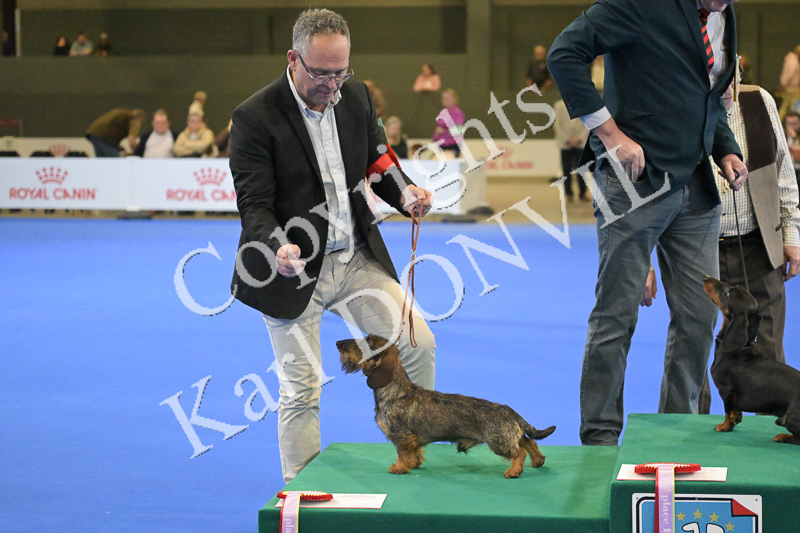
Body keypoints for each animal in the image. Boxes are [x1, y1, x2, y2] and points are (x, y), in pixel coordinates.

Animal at [336, 334, 556, 478]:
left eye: (367, 343)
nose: (338, 343)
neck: (395, 392)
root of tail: (508, 410)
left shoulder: (401, 435)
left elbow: (403, 453)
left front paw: (400, 467)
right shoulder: (413, 439)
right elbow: (415, 453)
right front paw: (414, 464)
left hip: (497, 441)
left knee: (520, 451)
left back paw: (514, 471)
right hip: (508, 435)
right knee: (528, 441)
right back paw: (538, 460)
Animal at [703, 275, 800, 444]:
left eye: (728, 293)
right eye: (733, 286)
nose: (706, 277)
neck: (738, 348)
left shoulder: (727, 390)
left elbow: (728, 411)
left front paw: (724, 426)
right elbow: (735, 412)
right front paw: (733, 422)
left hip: (792, 418)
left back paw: (782, 436)